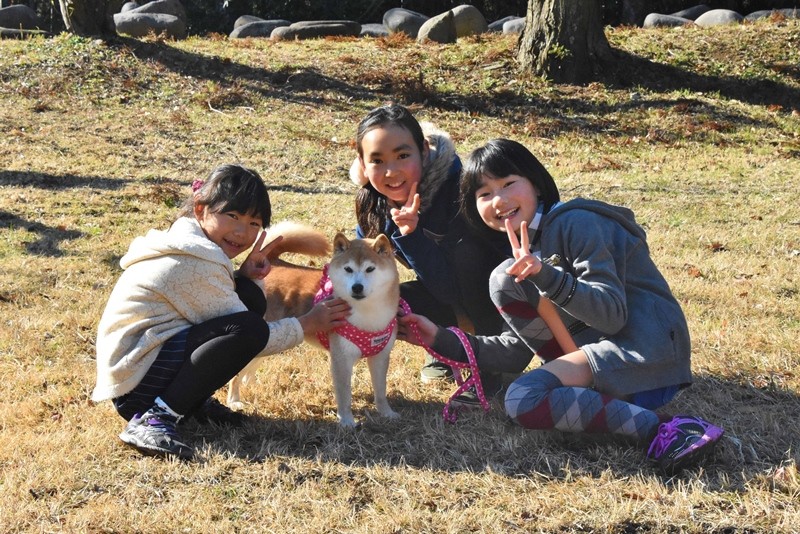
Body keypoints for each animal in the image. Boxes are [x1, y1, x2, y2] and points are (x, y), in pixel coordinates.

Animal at [227, 221, 401, 428]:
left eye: (370, 269)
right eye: (348, 269)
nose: (357, 287)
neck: (368, 313)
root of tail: (273, 263)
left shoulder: (380, 356)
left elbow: (381, 390)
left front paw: (387, 413)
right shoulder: (341, 359)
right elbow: (344, 395)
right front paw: (347, 422)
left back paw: (250, 383)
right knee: (235, 374)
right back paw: (234, 400)